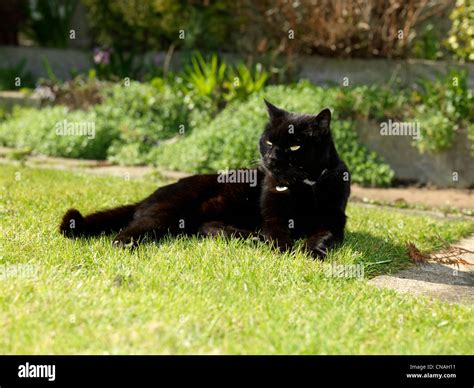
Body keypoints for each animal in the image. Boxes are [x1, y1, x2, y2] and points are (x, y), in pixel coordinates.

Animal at [59, 100, 350, 260]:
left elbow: (322, 235)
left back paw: (249, 237)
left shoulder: (335, 220)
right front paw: (286, 250)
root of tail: (148, 196)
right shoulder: (272, 217)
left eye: (294, 146)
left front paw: (312, 250)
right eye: (268, 142)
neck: (303, 187)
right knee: (126, 232)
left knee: (205, 227)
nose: (272, 158)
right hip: (169, 212)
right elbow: (277, 234)